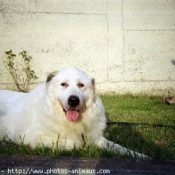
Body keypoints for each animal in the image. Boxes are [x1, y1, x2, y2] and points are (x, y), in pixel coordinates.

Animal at [0, 67, 148, 159]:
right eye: (63, 84)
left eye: (81, 85)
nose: (73, 100)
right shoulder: (31, 137)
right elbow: (73, 144)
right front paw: (81, 146)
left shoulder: (97, 137)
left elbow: (118, 147)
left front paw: (141, 156)